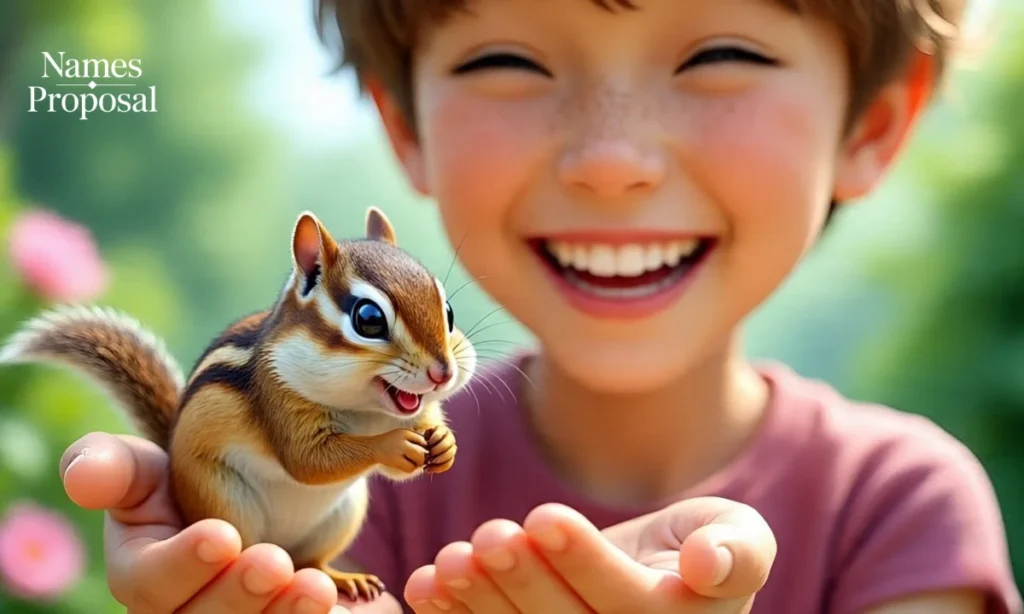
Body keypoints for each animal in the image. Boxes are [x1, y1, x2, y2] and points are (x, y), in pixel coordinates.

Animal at [0, 206, 477, 602]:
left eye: (449, 311)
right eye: (369, 319)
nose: (443, 372)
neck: (365, 411)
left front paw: (445, 442)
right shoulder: (278, 398)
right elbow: (308, 461)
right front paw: (394, 444)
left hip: (342, 515)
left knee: (311, 563)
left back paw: (342, 578)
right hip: (223, 498)